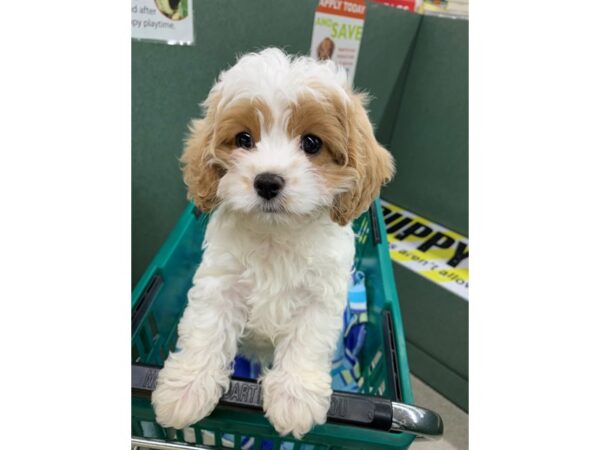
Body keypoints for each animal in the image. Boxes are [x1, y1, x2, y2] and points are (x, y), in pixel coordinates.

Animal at [151, 49, 394, 440]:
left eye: (311, 143)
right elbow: (207, 326)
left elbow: (307, 338)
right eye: (243, 139)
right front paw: (186, 387)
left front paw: (295, 396)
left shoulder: (321, 296)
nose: (267, 181)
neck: (276, 234)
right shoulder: (219, 282)